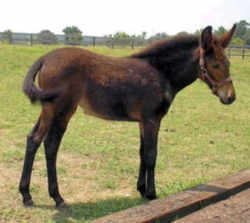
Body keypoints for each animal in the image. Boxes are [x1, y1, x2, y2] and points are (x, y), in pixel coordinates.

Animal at [19, 24, 236, 207]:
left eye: (228, 63)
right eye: (215, 65)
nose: (231, 97)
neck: (161, 73)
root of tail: (47, 57)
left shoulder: (143, 121)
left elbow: (142, 152)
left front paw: (141, 189)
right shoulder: (152, 119)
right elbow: (151, 155)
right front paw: (151, 193)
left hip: (49, 109)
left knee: (33, 139)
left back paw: (27, 194)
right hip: (61, 110)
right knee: (49, 144)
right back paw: (56, 197)